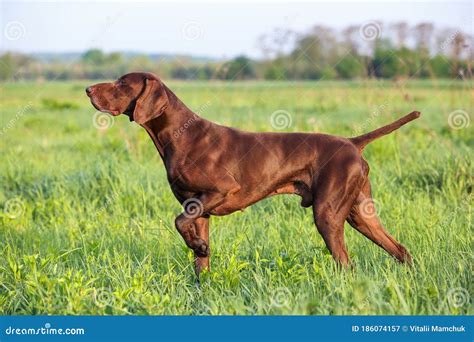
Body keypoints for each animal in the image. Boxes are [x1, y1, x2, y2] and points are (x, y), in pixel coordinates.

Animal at [86, 71, 418, 276]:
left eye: (121, 84)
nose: (87, 89)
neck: (180, 135)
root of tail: (352, 142)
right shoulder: (199, 209)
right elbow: (199, 259)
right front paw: (201, 273)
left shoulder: (220, 191)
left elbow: (178, 222)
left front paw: (198, 245)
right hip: (360, 214)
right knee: (401, 250)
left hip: (329, 215)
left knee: (347, 264)